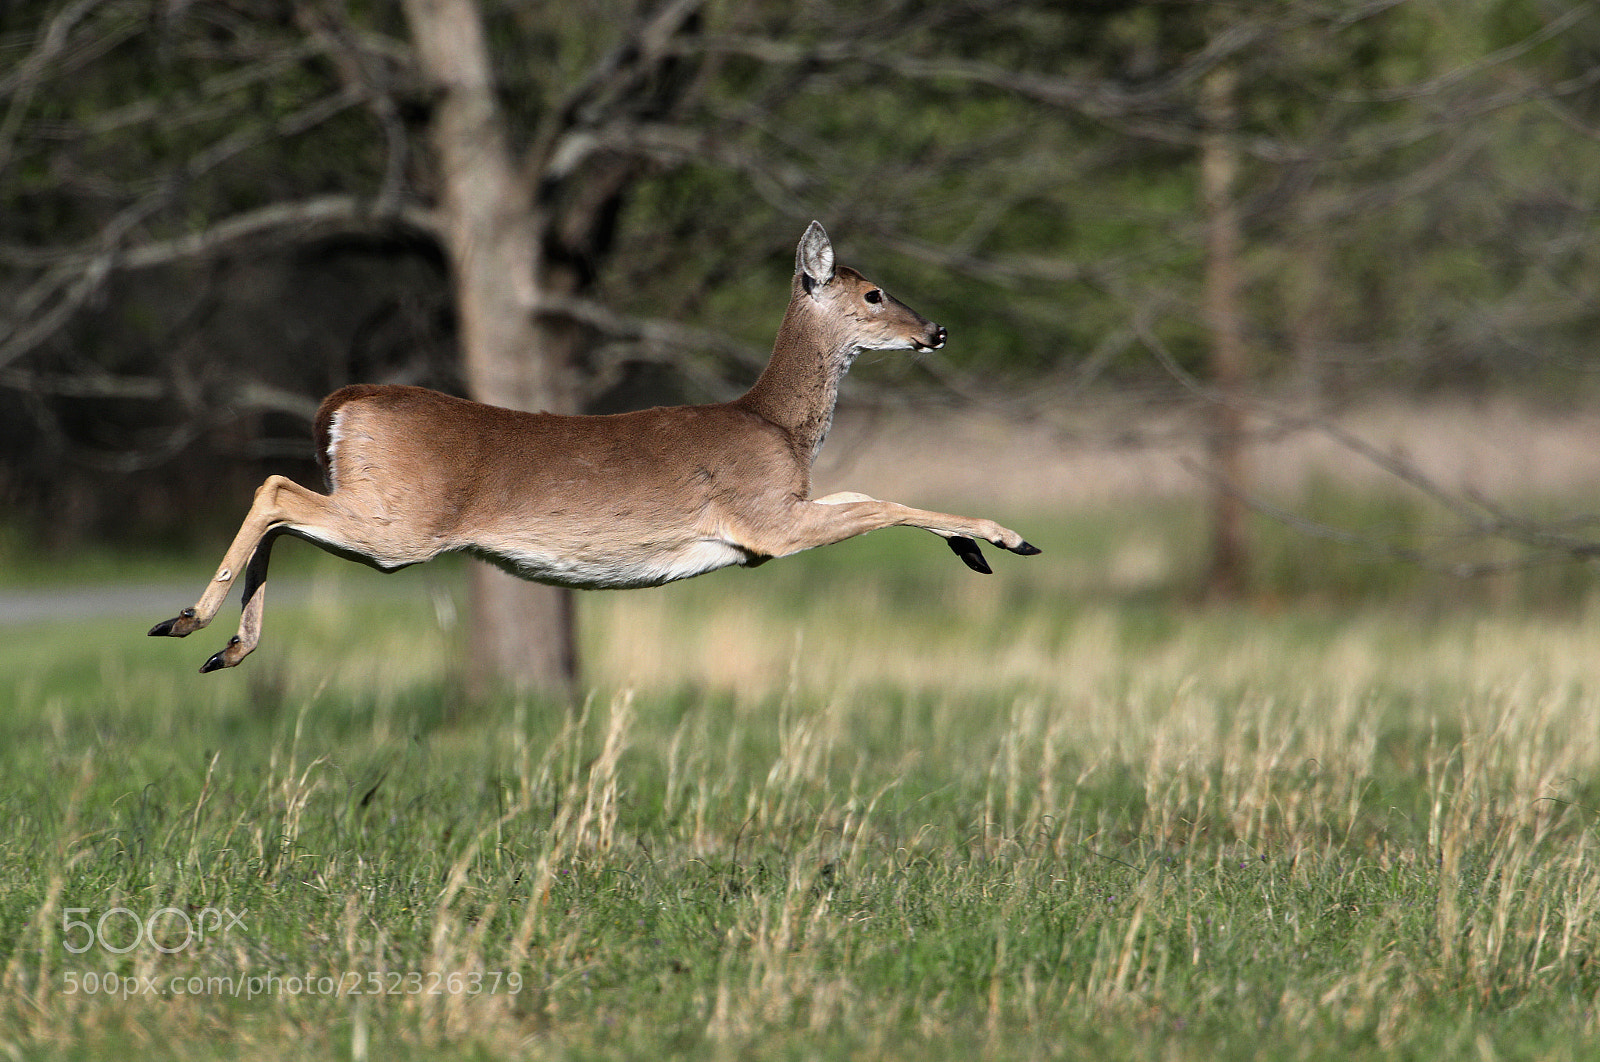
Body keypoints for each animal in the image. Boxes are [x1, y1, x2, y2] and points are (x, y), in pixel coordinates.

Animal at [149, 222, 1041, 673]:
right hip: (399, 524)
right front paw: (1006, 539)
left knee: (284, 507)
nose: (938, 330)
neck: (776, 426)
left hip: (379, 516)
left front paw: (975, 547)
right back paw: (190, 620)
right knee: (274, 490)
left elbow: (868, 497)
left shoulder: (784, 508)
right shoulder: (765, 521)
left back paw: (225, 645)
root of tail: (342, 405)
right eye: (874, 292)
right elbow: (881, 504)